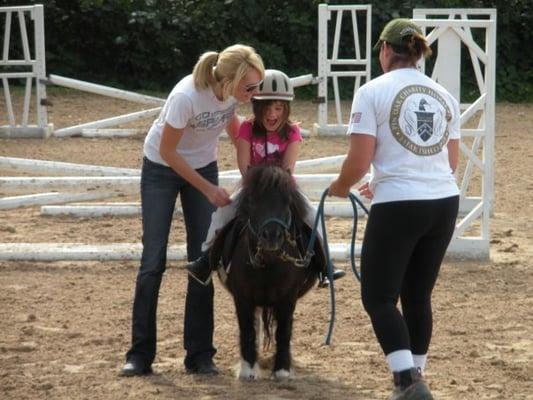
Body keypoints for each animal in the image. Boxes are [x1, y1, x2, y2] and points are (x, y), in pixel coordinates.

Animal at [210, 164, 322, 380]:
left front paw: (282, 370)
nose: (271, 235)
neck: (269, 264)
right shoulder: (242, 298)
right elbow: (247, 330)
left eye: (286, 202)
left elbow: (284, 332)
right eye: (253, 200)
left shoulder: (288, 298)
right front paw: (248, 369)